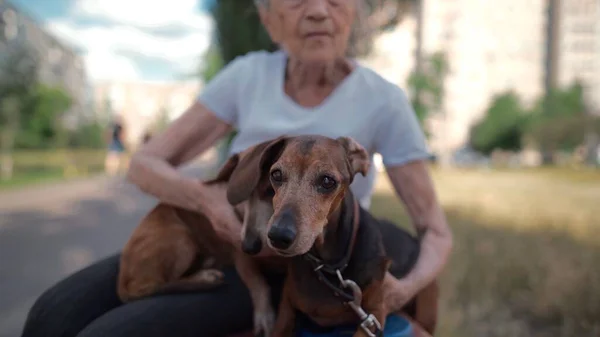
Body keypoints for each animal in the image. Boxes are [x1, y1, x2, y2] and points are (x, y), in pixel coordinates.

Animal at [120, 141, 284, 336]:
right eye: (237, 197)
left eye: (271, 190)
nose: (249, 246)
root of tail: (122, 277)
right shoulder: (241, 256)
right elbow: (258, 283)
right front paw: (264, 316)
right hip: (182, 239)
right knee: (154, 285)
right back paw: (205, 277)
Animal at [227, 135, 438, 336]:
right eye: (276, 174)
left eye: (327, 181)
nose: (278, 236)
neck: (329, 265)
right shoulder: (287, 304)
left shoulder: (374, 315)